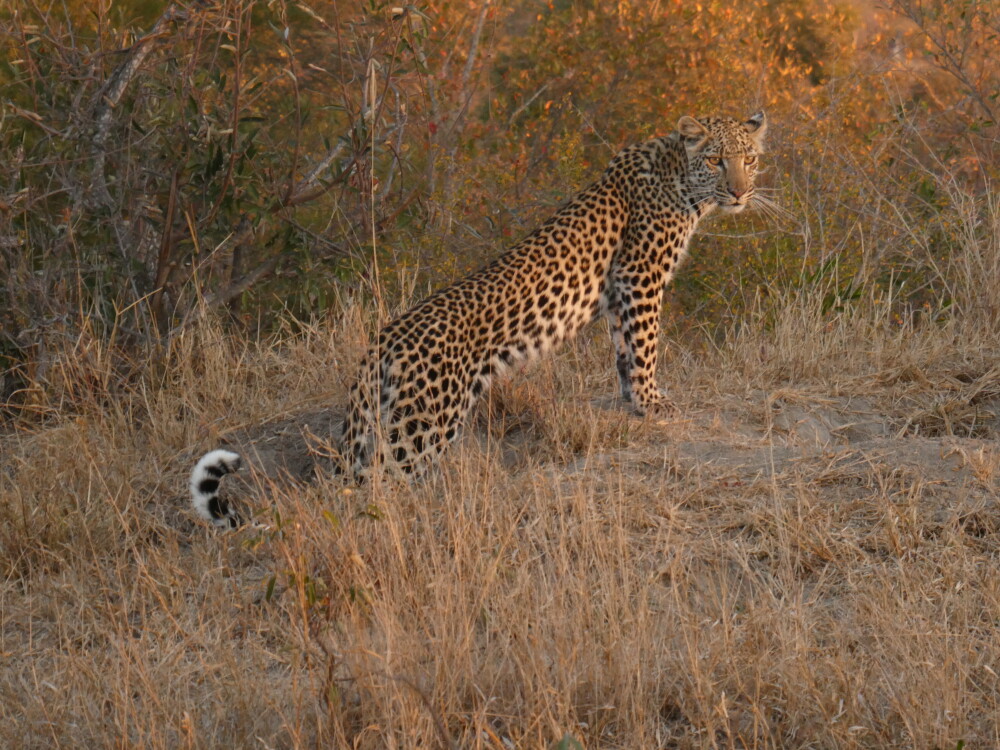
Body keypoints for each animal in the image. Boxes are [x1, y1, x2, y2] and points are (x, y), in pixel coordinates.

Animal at [191, 111, 768, 527]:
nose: (741, 192)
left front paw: (632, 401)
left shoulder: (621, 292)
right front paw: (654, 403)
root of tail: (382, 342)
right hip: (422, 426)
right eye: (717, 160)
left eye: (750, 159)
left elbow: (624, 350)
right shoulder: (641, 276)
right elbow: (644, 344)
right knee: (377, 484)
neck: (679, 177)